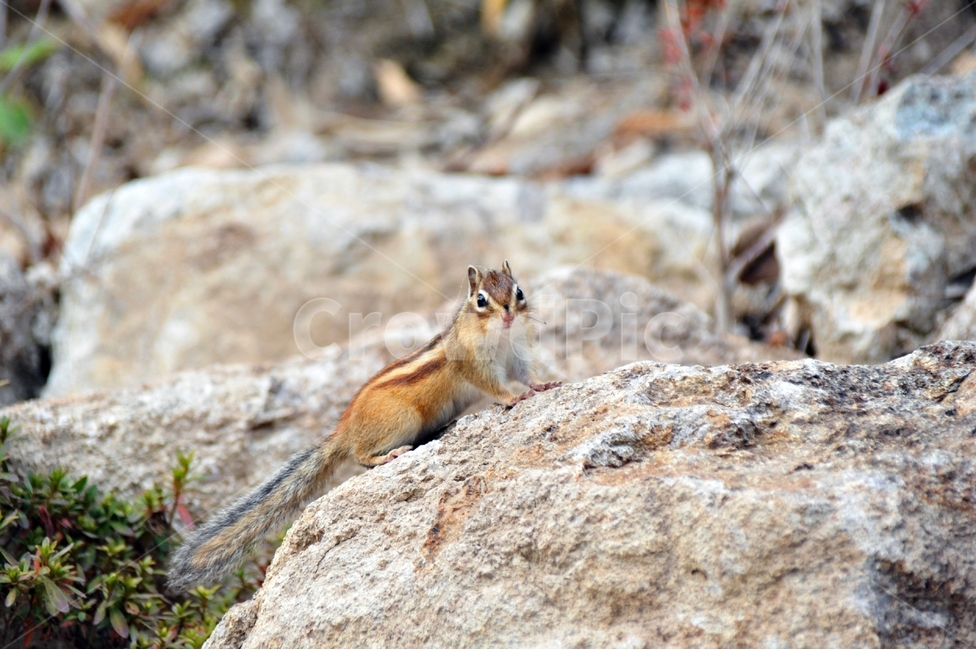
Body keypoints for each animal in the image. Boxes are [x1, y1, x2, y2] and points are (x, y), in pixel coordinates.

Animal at [167, 261, 560, 590]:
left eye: (518, 292)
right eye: (481, 300)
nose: (508, 315)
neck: (500, 337)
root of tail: (344, 430)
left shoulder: (517, 356)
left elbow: (527, 375)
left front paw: (542, 386)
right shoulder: (476, 367)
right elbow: (495, 386)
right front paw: (514, 398)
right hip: (401, 420)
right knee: (359, 455)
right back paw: (388, 456)